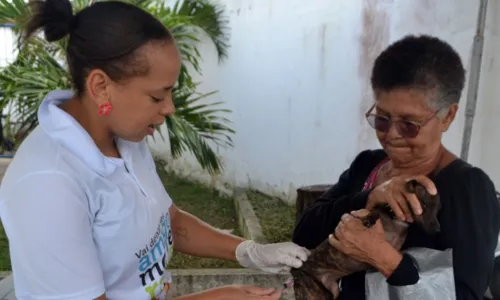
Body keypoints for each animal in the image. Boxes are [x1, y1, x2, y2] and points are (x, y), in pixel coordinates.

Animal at [290, 180, 442, 300]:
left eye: (438, 209)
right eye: (423, 205)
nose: (437, 230)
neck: (395, 220)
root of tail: (298, 271)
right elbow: (372, 212)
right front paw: (370, 219)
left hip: (331, 291)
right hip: (311, 293)